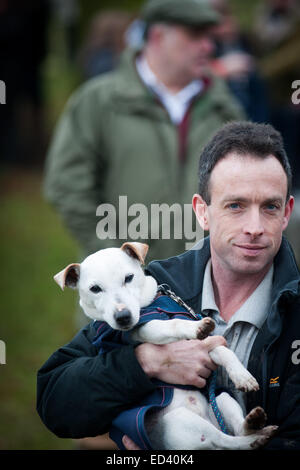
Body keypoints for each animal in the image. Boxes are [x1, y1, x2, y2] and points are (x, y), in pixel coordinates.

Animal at [54, 241, 278, 450]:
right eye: (95, 289)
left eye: (128, 278)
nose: (123, 317)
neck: (150, 306)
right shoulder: (142, 329)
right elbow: (172, 324)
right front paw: (195, 327)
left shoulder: (204, 343)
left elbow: (222, 350)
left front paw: (242, 376)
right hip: (179, 422)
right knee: (225, 441)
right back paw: (254, 439)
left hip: (222, 398)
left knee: (237, 429)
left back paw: (253, 424)